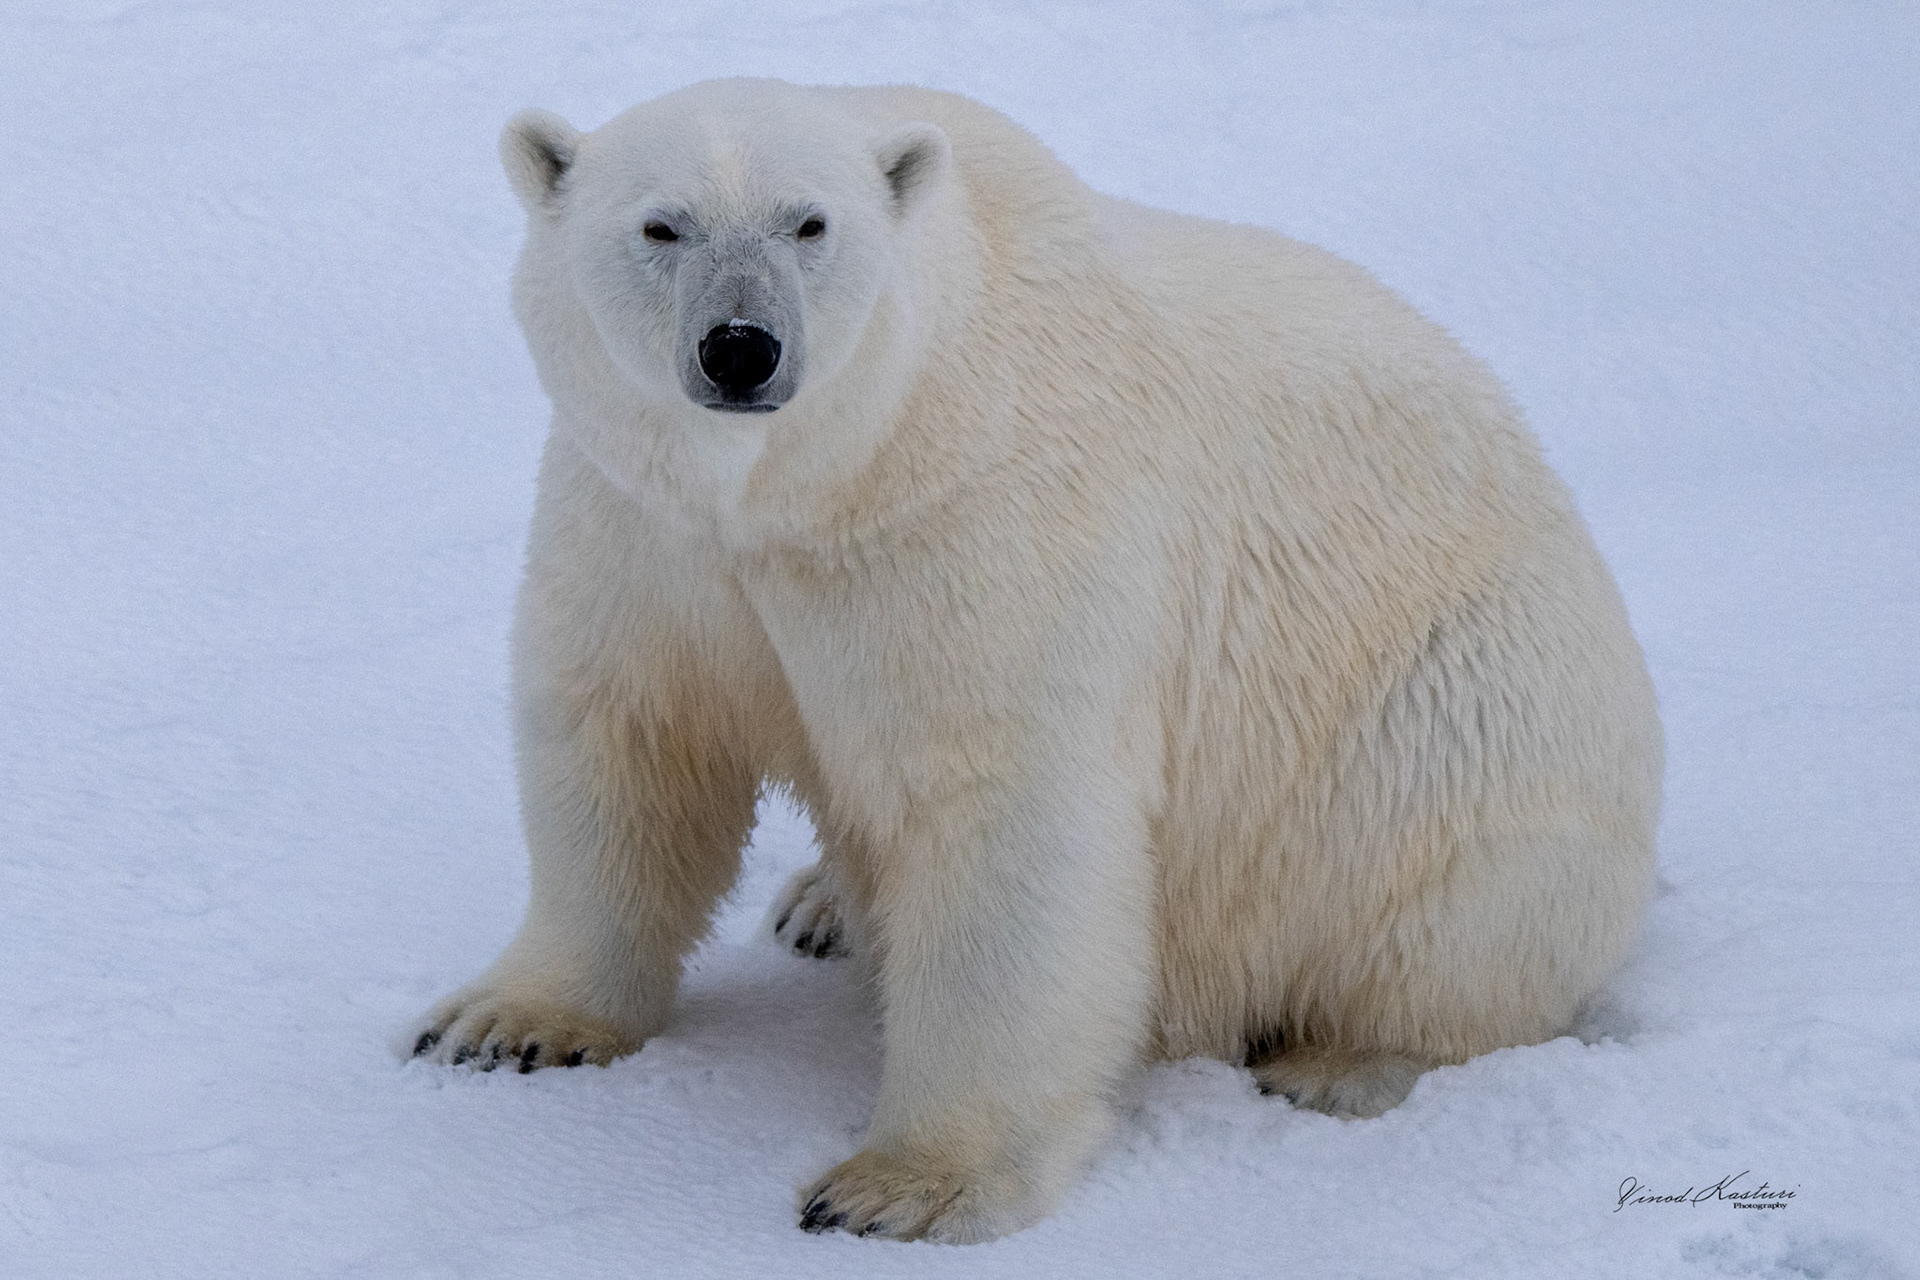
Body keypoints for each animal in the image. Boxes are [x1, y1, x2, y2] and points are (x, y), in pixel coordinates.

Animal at [411, 78, 1662, 1244]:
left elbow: (1000, 816)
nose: (740, 348)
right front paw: (502, 1023)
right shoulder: (644, 529)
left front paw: (901, 1184)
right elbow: (626, 741)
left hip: (1464, 711)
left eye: (810, 223)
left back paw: (1340, 1059)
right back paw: (820, 903)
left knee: (1444, 905)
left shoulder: (974, 518)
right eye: (661, 225)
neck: (815, 481)